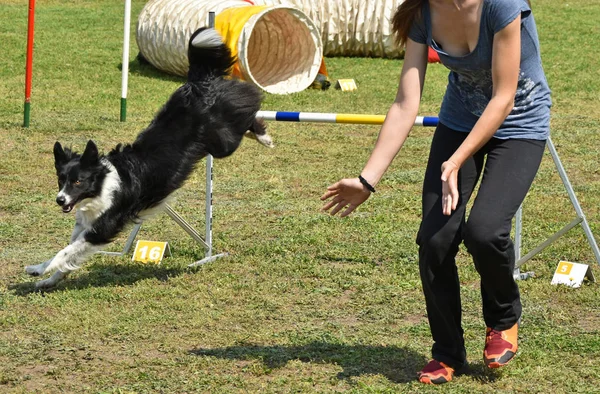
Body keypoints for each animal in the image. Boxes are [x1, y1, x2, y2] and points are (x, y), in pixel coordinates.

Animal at [25, 26, 274, 288]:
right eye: (60, 180)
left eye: (77, 181)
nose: (60, 200)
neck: (101, 186)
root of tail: (197, 85)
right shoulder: (86, 225)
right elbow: (70, 255)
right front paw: (49, 280)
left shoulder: (104, 227)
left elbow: (64, 252)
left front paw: (38, 269)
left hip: (223, 143)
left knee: (250, 109)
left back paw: (264, 137)